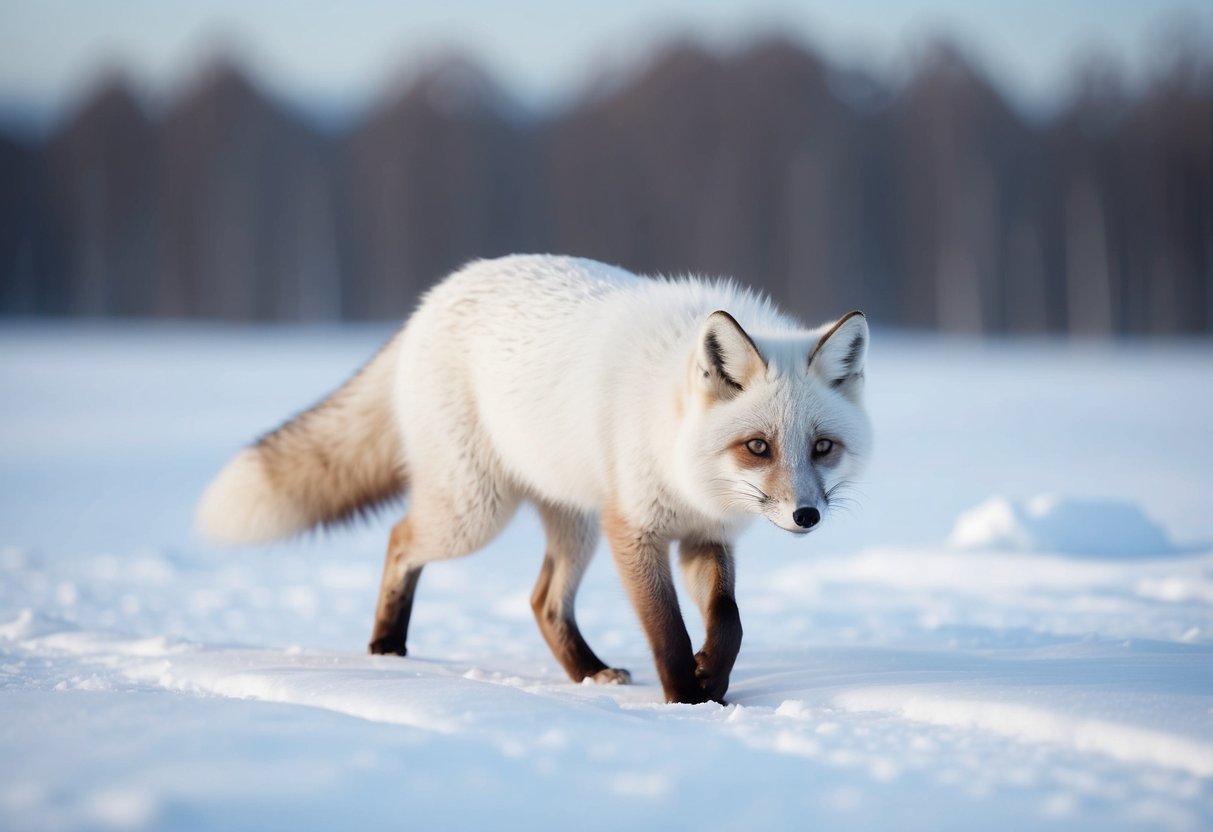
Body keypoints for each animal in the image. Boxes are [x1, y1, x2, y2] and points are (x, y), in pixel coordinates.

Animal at [196, 254, 871, 704]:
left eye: (822, 447)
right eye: (758, 446)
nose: (806, 516)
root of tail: (432, 300)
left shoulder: (704, 536)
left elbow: (728, 623)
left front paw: (714, 679)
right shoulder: (635, 529)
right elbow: (668, 632)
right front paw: (687, 701)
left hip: (572, 525)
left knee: (542, 602)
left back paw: (588, 673)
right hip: (476, 515)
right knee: (400, 538)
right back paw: (387, 650)